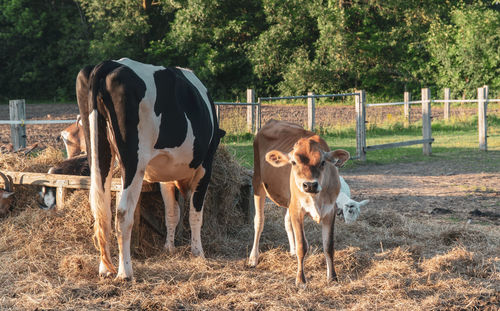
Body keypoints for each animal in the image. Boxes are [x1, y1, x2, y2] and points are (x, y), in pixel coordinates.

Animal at [76, 58, 225, 280]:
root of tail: (109, 64)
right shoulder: (205, 167)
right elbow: (195, 214)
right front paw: (198, 252)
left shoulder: (166, 176)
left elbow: (171, 213)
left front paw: (169, 248)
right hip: (133, 161)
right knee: (123, 213)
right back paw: (125, 271)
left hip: (97, 150)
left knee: (100, 208)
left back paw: (105, 268)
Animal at [248, 119, 350, 288]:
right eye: (294, 162)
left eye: (323, 162)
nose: (309, 185)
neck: (316, 198)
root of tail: (273, 121)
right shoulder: (297, 209)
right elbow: (303, 245)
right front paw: (301, 280)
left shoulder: (330, 211)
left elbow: (329, 245)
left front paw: (332, 277)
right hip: (257, 182)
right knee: (259, 221)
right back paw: (253, 258)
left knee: (286, 221)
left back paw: (292, 251)